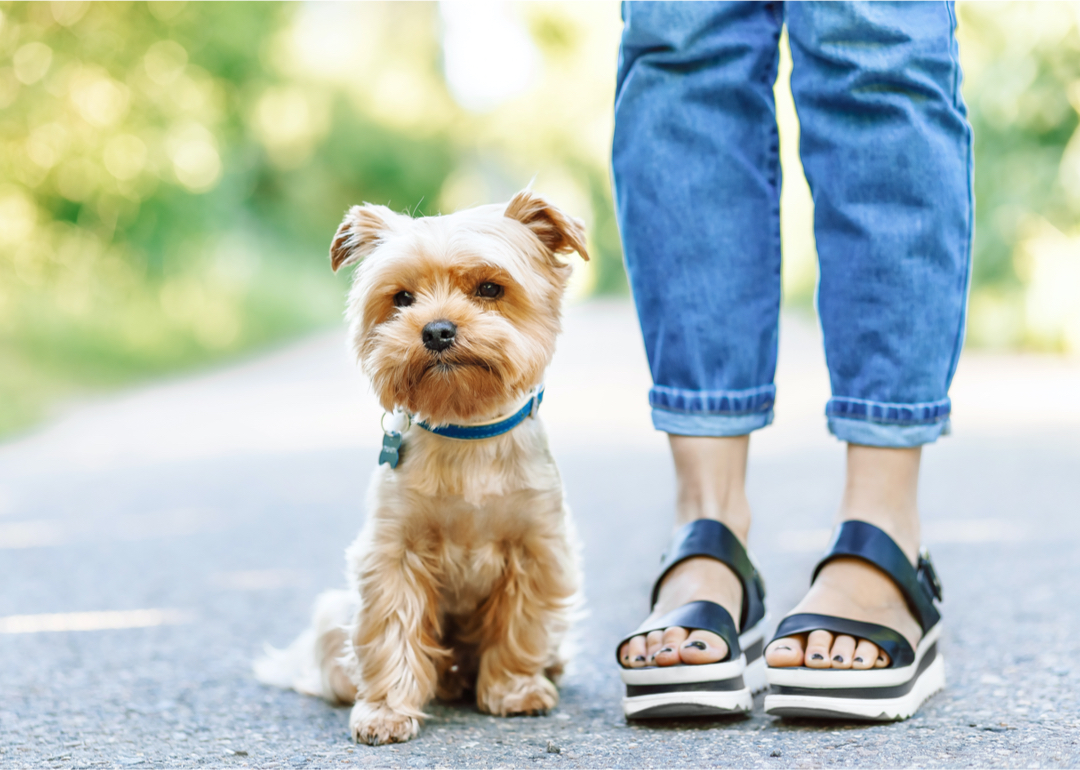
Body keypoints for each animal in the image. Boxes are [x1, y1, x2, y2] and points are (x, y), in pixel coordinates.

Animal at [252, 192, 587, 743]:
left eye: (490, 288)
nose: (437, 329)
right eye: (402, 298)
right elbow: (390, 627)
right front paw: (386, 711)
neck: (467, 430)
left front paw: (514, 689)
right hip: (332, 615)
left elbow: (520, 624)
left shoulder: (536, 548)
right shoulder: (393, 552)